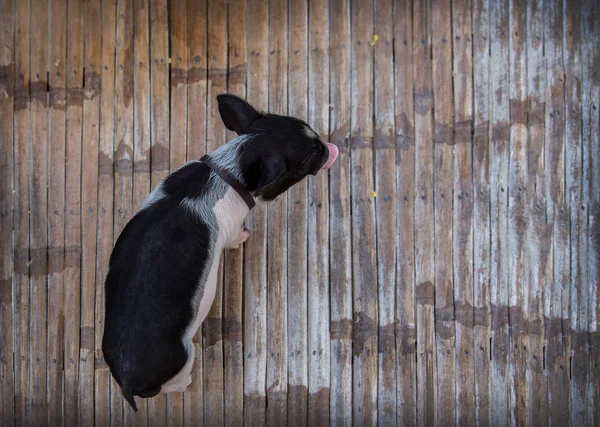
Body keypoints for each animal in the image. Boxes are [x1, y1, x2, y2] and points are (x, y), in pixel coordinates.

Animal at [101, 94, 340, 412]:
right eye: (306, 159)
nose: (327, 147)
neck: (228, 172)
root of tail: (126, 380)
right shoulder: (233, 223)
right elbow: (236, 236)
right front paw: (246, 237)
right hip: (184, 359)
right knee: (177, 382)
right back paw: (189, 383)